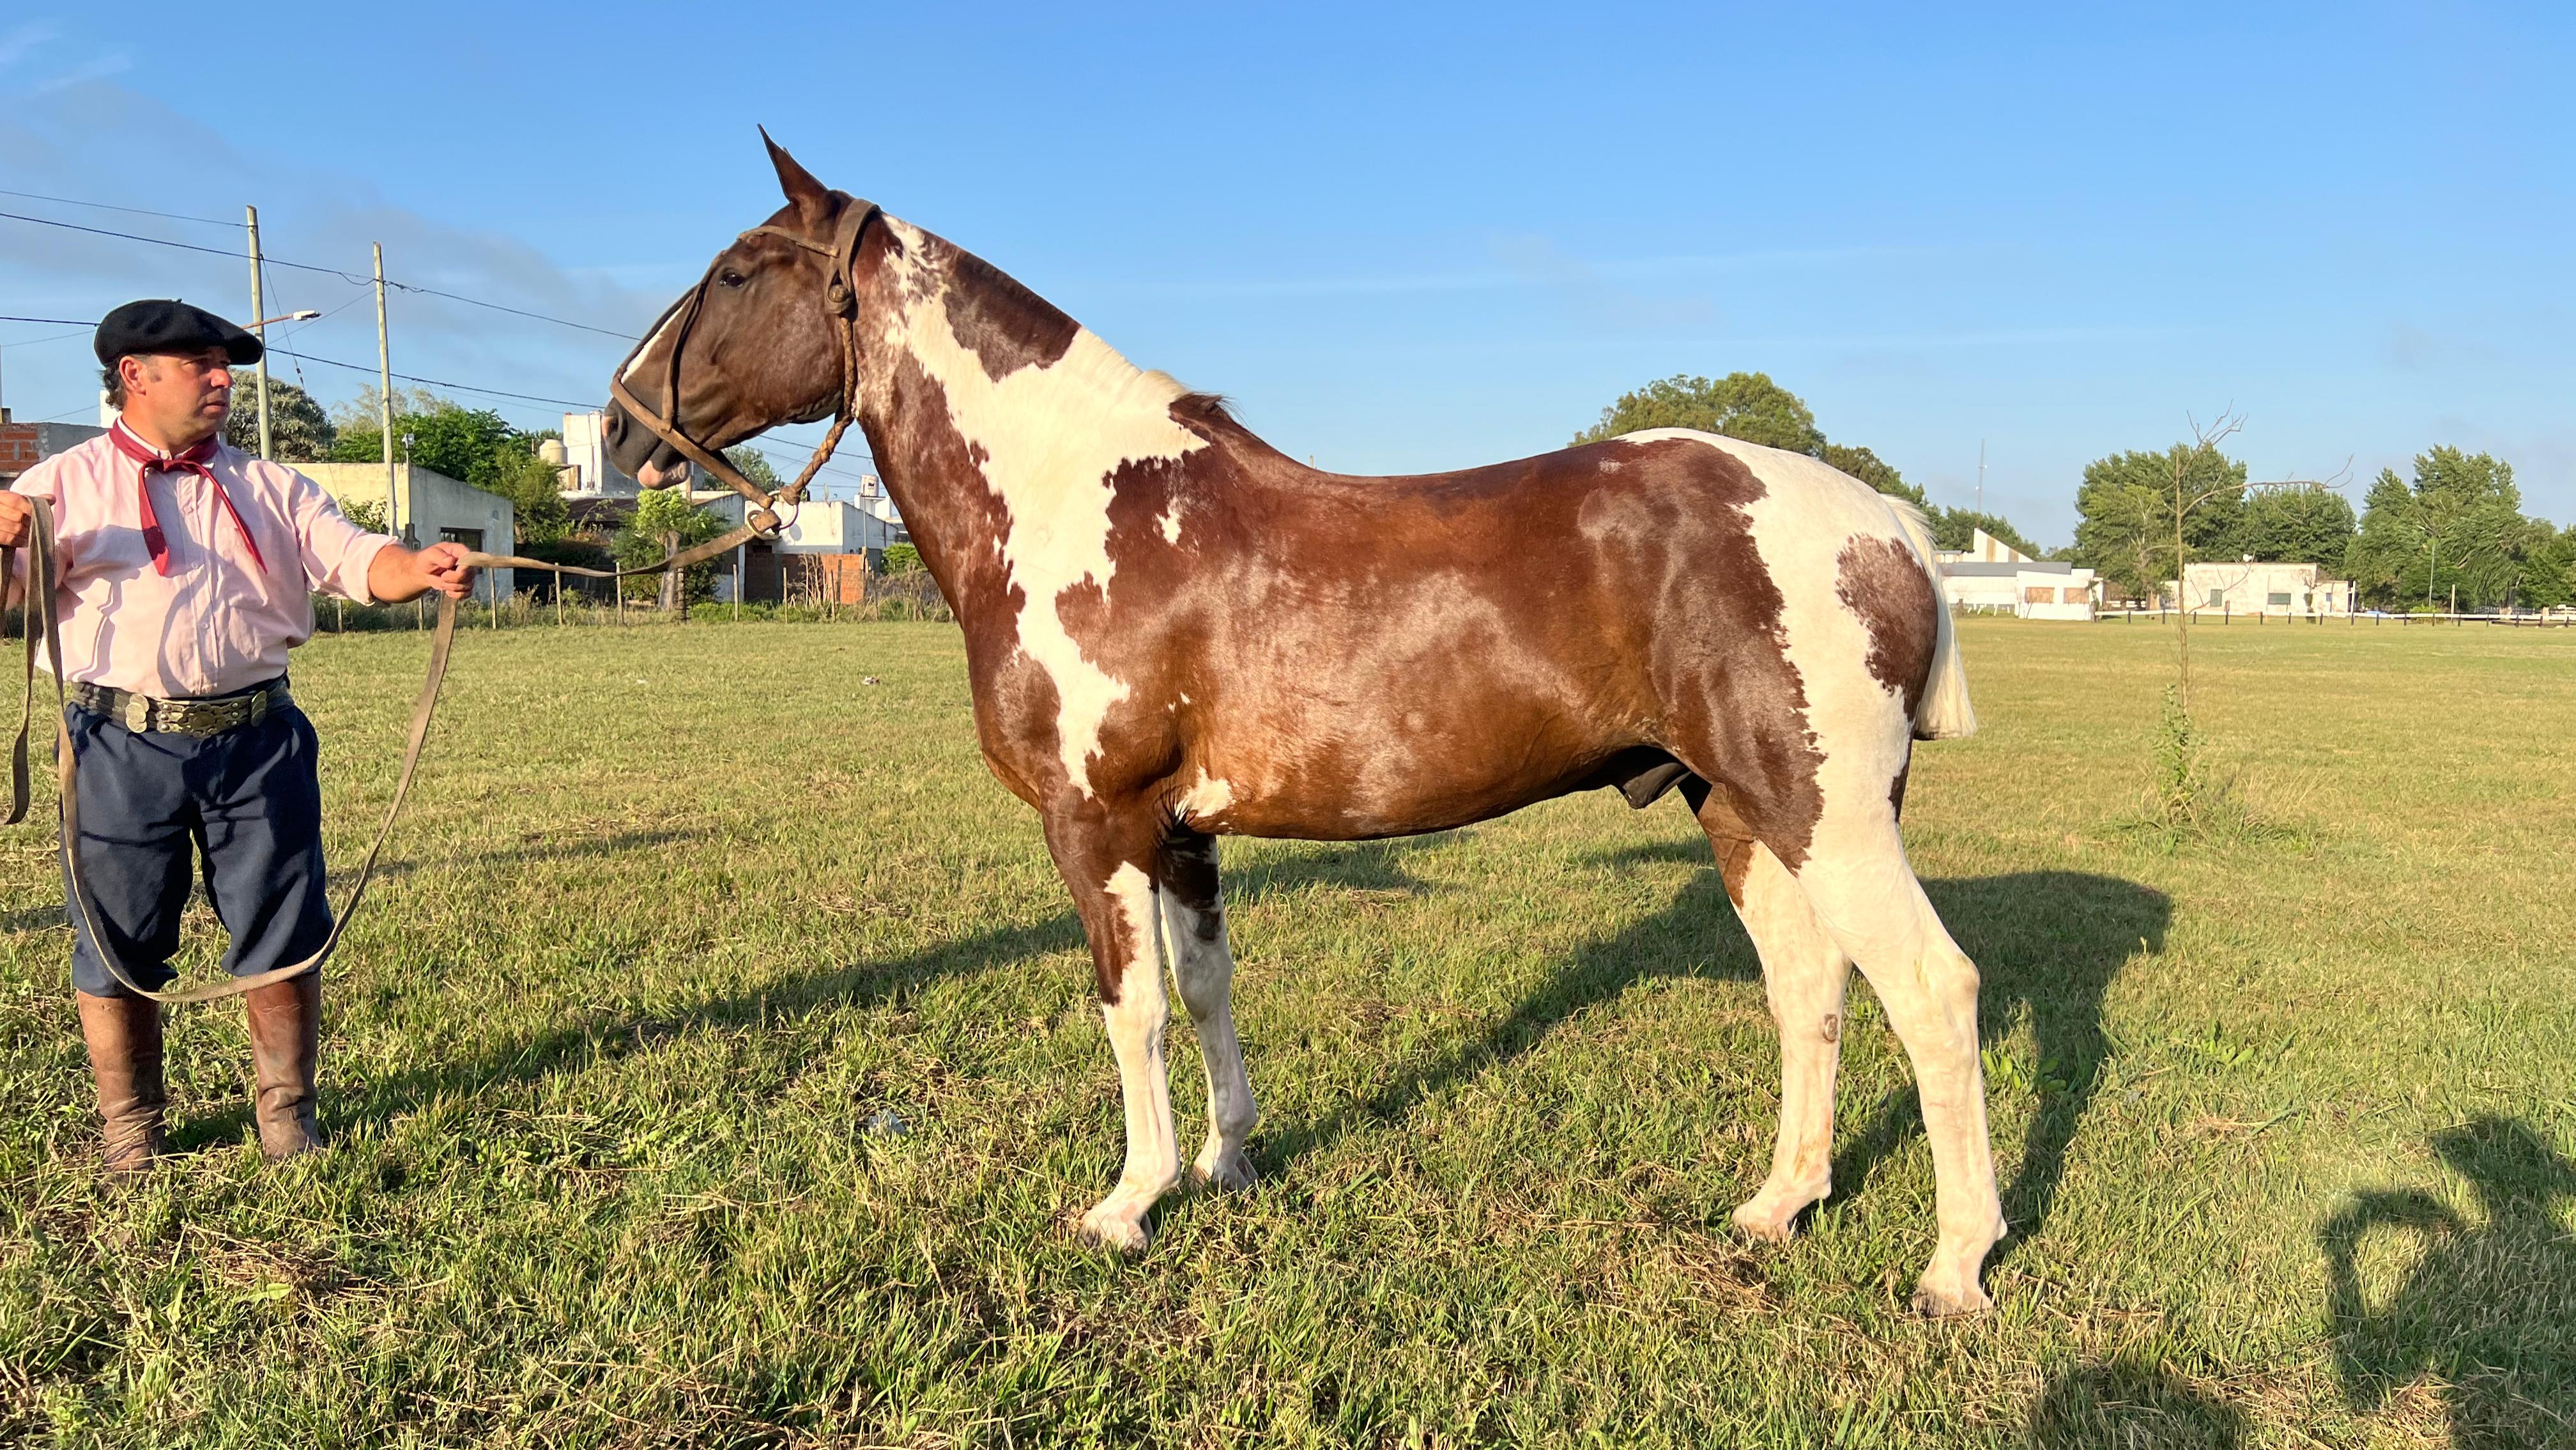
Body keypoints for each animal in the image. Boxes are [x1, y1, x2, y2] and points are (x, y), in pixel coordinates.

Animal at [602, 135, 2006, 1316]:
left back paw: (1954, 1270)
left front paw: (1126, 1203)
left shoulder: (1094, 822)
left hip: (1829, 817)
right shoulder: (1180, 832)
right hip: (1741, 811)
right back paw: (1777, 1206)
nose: (620, 425)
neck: (1080, 508)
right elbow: (1206, 990)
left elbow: (1130, 1007)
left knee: (1932, 989)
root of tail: (1888, 525)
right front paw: (1224, 1161)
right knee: (1810, 989)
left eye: (736, 271)